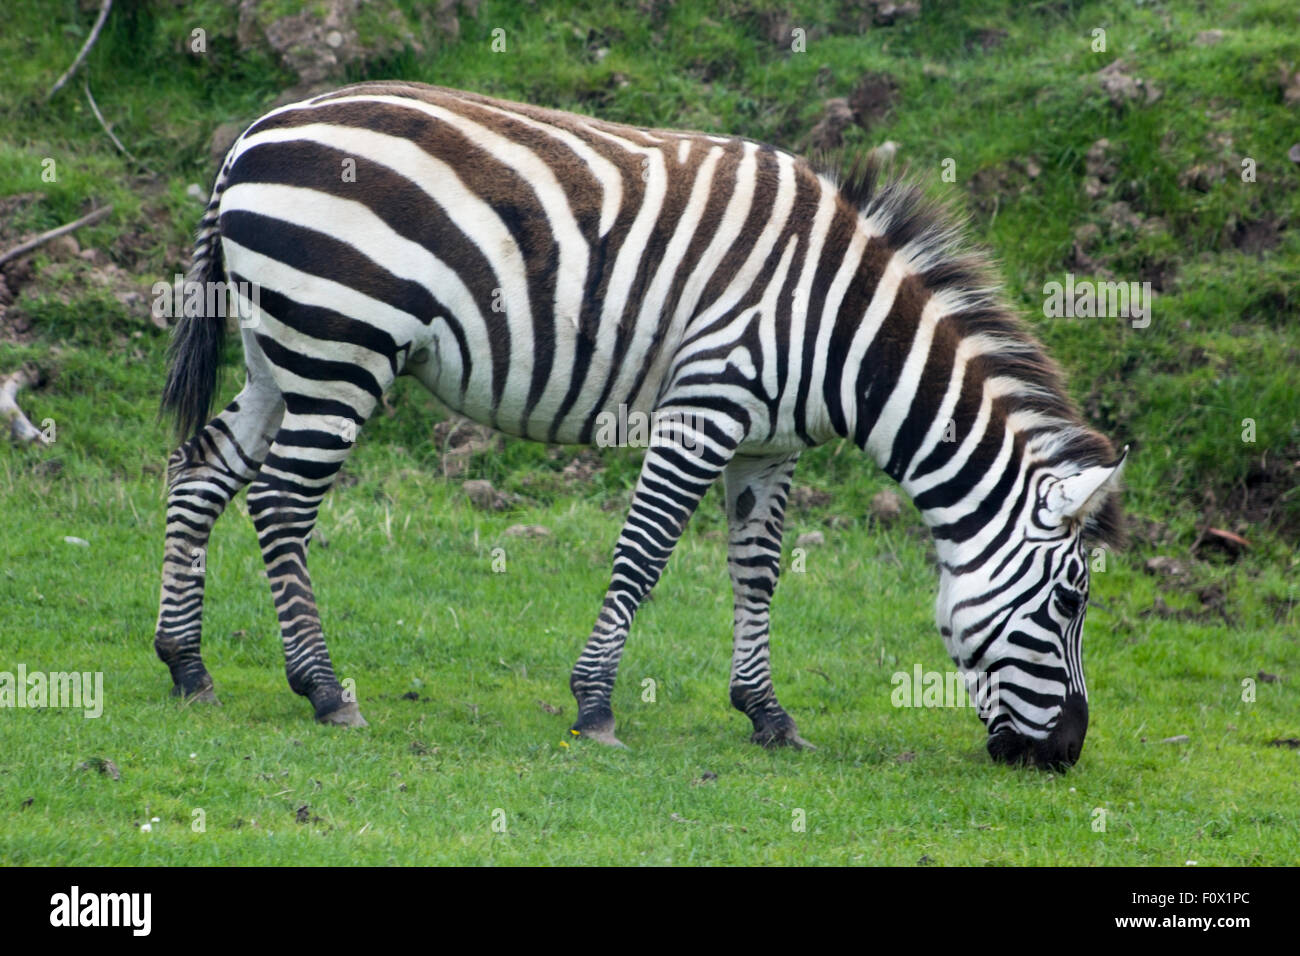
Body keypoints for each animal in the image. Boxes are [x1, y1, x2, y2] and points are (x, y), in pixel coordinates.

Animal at [157, 81, 1125, 769]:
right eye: (1071, 601)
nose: (1067, 754)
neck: (845, 329)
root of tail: (253, 132)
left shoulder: (768, 448)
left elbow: (758, 573)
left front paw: (768, 714)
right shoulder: (706, 406)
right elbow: (644, 553)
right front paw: (594, 707)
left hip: (280, 352)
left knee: (201, 469)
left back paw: (187, 666)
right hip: (340, 346)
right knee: (280, 504)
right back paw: (323, 689)